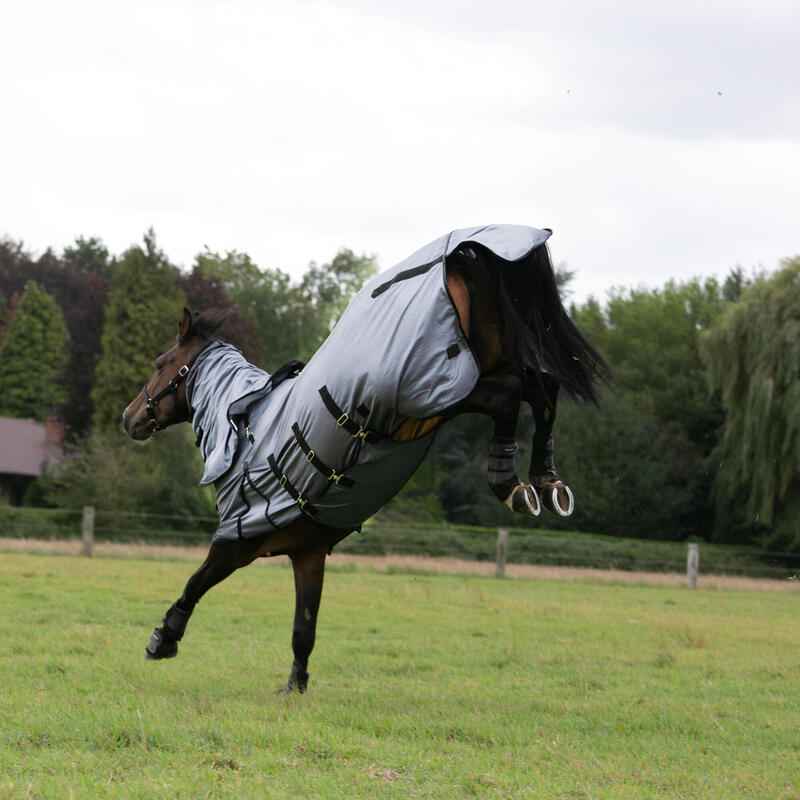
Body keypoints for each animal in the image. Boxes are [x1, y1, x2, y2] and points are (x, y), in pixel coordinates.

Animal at [122, 225, 608, 692]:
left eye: (161, 362)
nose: (130, 418)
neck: (244, 423)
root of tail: (459, 254)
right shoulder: (308, 553)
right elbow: (304, 628)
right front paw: (294, 688)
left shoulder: (237, 541)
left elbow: (195, 582)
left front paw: (162, 639)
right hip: (490, 361)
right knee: (541, 388)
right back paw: (546, 483)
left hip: (444, 392)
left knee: (514, 397)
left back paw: (510, 484)